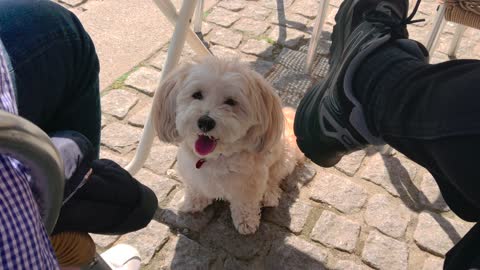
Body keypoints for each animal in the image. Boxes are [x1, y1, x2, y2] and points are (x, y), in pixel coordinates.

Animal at [154, 57, 302, 234]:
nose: (205, 122)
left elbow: (245, 203)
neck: (215, 158)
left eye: (231, 102)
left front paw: (246, 222)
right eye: (197, 94)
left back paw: (269, 195)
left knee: (274, 178)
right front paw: (192, 203)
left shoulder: (249, 184)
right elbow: (195, 189)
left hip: (284, 159)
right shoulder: (192, 174)